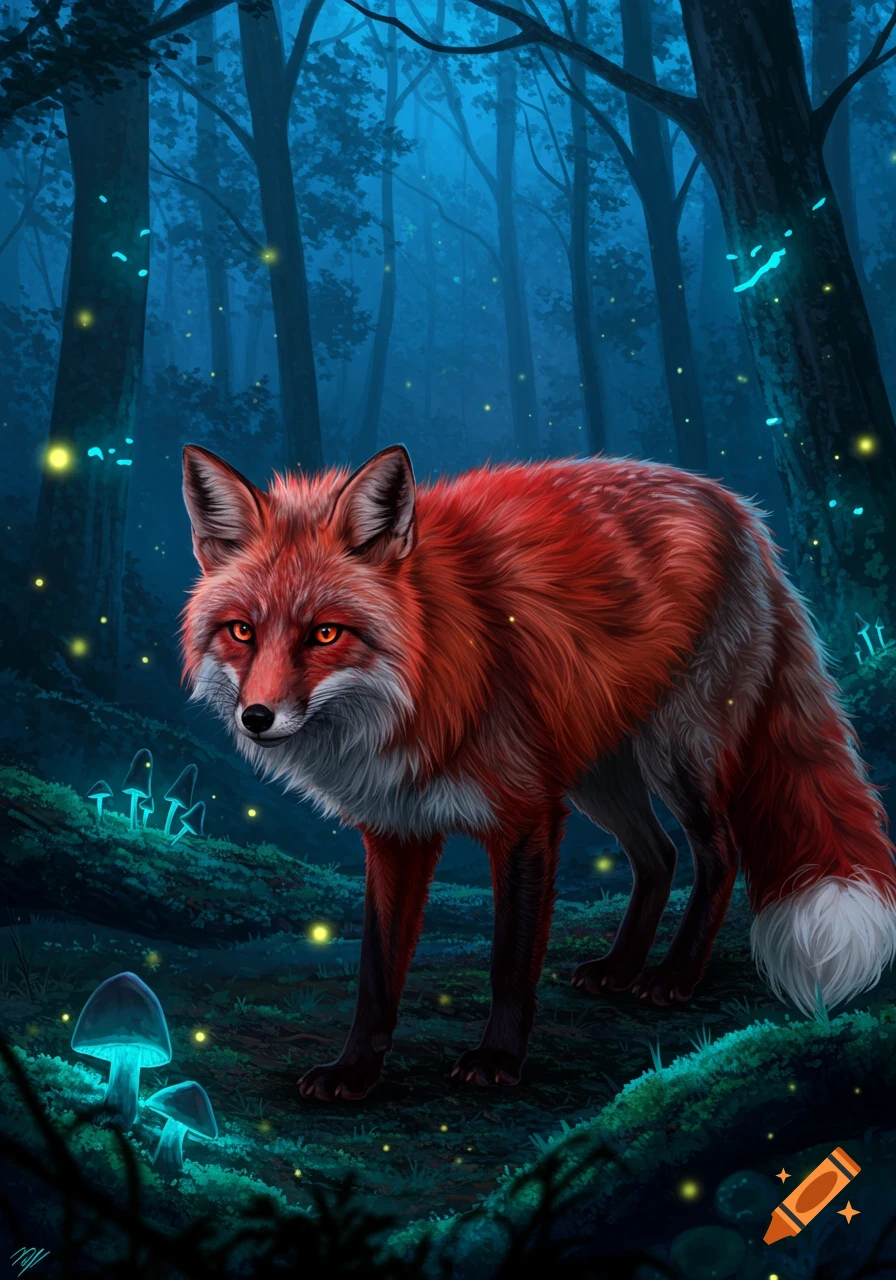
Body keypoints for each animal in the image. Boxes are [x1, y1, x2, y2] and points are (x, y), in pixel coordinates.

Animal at [180, 443, 896, 1101]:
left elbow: (511, 960)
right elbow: (377, 971)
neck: (427, 675)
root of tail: (735, 506)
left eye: (325, 634)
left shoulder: (525, 816)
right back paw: (621, 965)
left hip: (675, 754)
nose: (257, 718)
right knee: (658, 855)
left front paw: (499, 1059)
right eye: (242, 631)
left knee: (720, 851)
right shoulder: (396, 830)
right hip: (598, 773)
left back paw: (674, 975)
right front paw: (356, 1071)